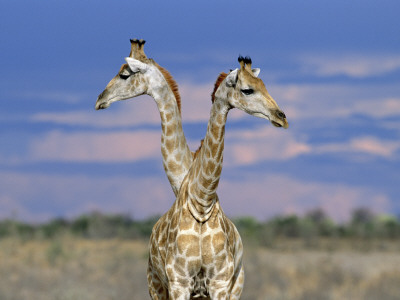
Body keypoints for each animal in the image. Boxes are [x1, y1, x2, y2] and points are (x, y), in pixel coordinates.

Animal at [148, 55, 290, 298]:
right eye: (247, 90)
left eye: (265, 85)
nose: (281, 117)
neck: (202, 205)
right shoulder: (179, 282)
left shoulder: (220, 282)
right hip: (155, 286)